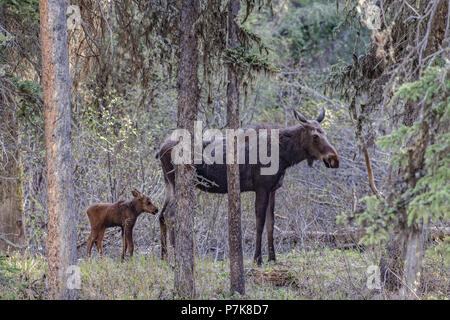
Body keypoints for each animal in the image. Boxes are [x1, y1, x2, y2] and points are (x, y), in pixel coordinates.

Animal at [156, 108, 340, 264]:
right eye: (315, 136)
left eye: (325, 133)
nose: (334, 159)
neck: (286, 156)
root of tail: (159, 150)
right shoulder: (262, 188)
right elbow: (259, 222)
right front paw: (257, 258)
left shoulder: (273, 189)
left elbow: (271, 224)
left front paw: (272, 258)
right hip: (178, 183)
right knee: (171, 214)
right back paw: (175, 257)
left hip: (168, 184)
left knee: (161, 214)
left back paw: (164, 257)